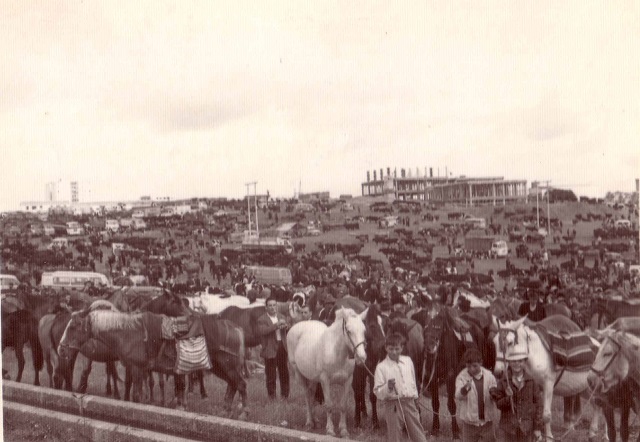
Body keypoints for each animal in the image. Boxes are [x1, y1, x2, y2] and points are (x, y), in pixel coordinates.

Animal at [288, 308, 368, 438]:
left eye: (364, 330)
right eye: (349, 331)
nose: (361, 358)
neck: (337, 353)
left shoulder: (348, 380)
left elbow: (343, 405)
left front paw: (343, 430)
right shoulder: (325, 380)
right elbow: (329, 405)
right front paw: (330, 430)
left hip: (313, 379)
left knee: (311, 395)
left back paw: (316, 421)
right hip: (299, 374)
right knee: (307, 396)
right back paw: (309, 422)